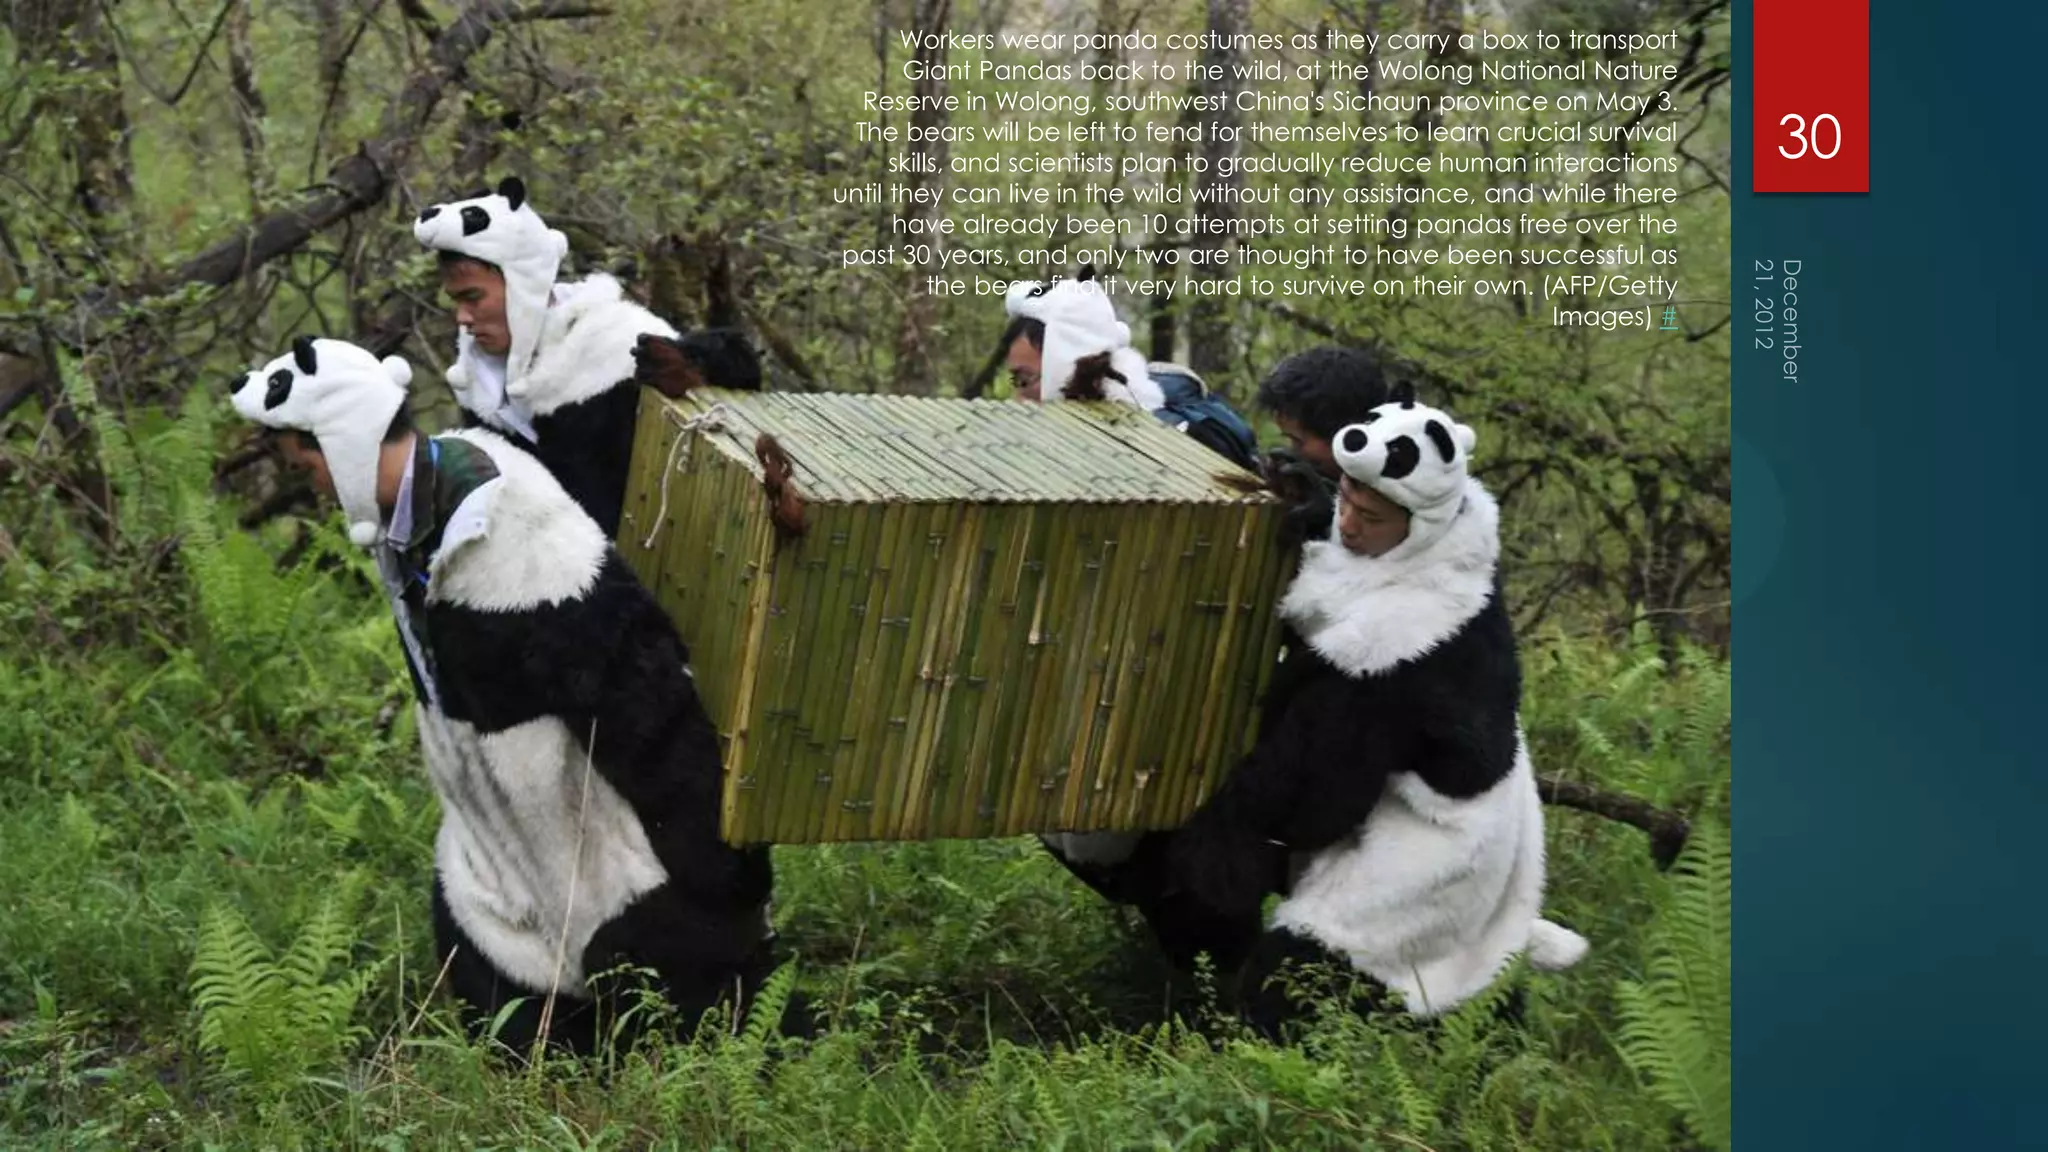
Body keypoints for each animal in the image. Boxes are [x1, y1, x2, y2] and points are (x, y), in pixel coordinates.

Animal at [1159, 383, 1590, 1030]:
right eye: (1376, 417)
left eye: (1407, 451)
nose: (1355, 443)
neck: (1412, 559)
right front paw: (1303, 492)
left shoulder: (1388, 658)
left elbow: (1312, 795)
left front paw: (1204, 848)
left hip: (1404, 896)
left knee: (1305, 965)